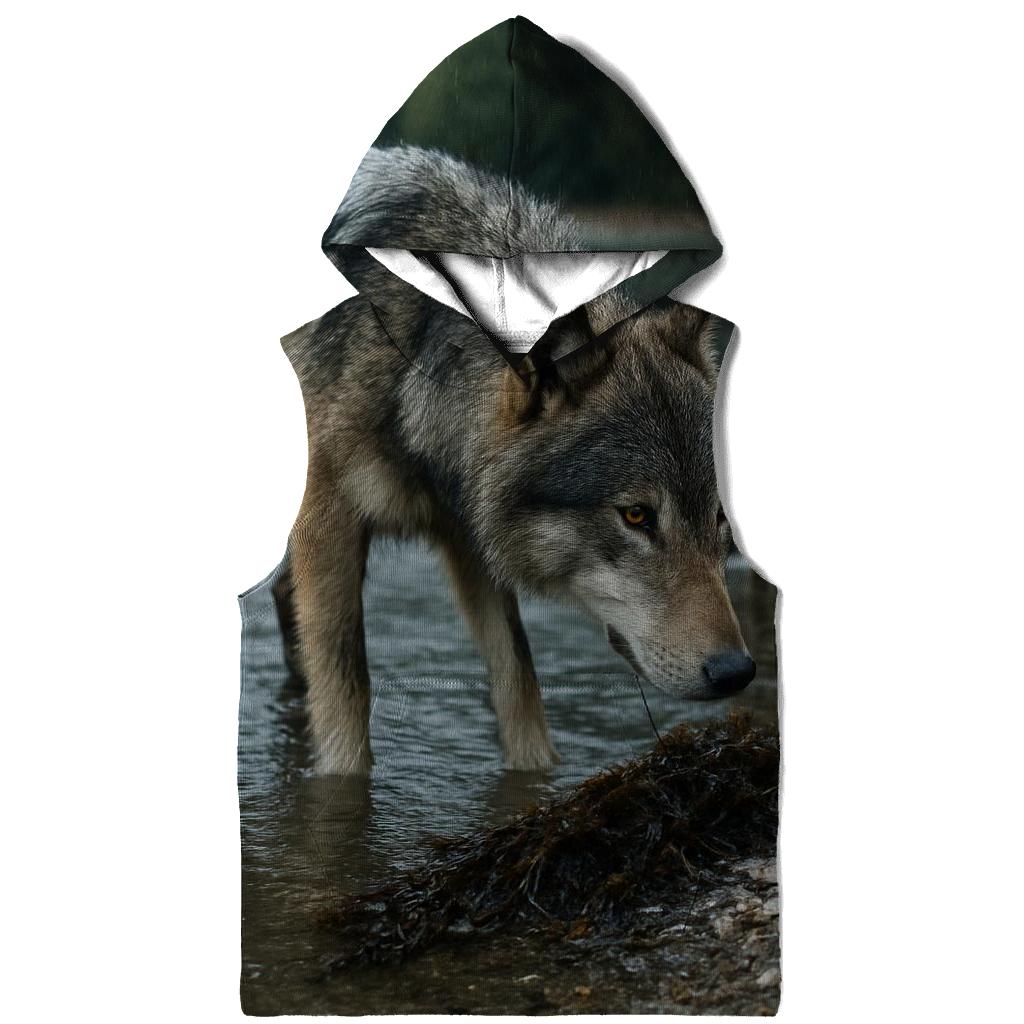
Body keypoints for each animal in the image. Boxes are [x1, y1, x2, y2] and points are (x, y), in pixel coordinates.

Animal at [274, 150, 754, 775]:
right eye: (637, 517)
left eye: (720, 519)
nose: (736, 672)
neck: (413, 365)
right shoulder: (330, 527)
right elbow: (346, 706)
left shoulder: (471, 539)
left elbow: (521, 689)